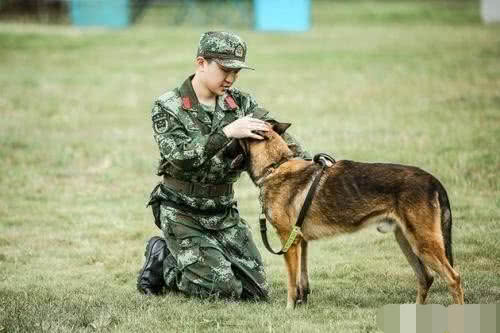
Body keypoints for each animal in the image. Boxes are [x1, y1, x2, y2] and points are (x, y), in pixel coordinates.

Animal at [239, 122, 464, 308]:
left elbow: (291, 284)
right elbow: (302, 279)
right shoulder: (301, 241)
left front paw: (289, 309)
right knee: (426, 277)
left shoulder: (289, 241)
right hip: (407, 241)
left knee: (453, 279)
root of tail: (434, 181)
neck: (275, 166)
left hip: (423, 244)